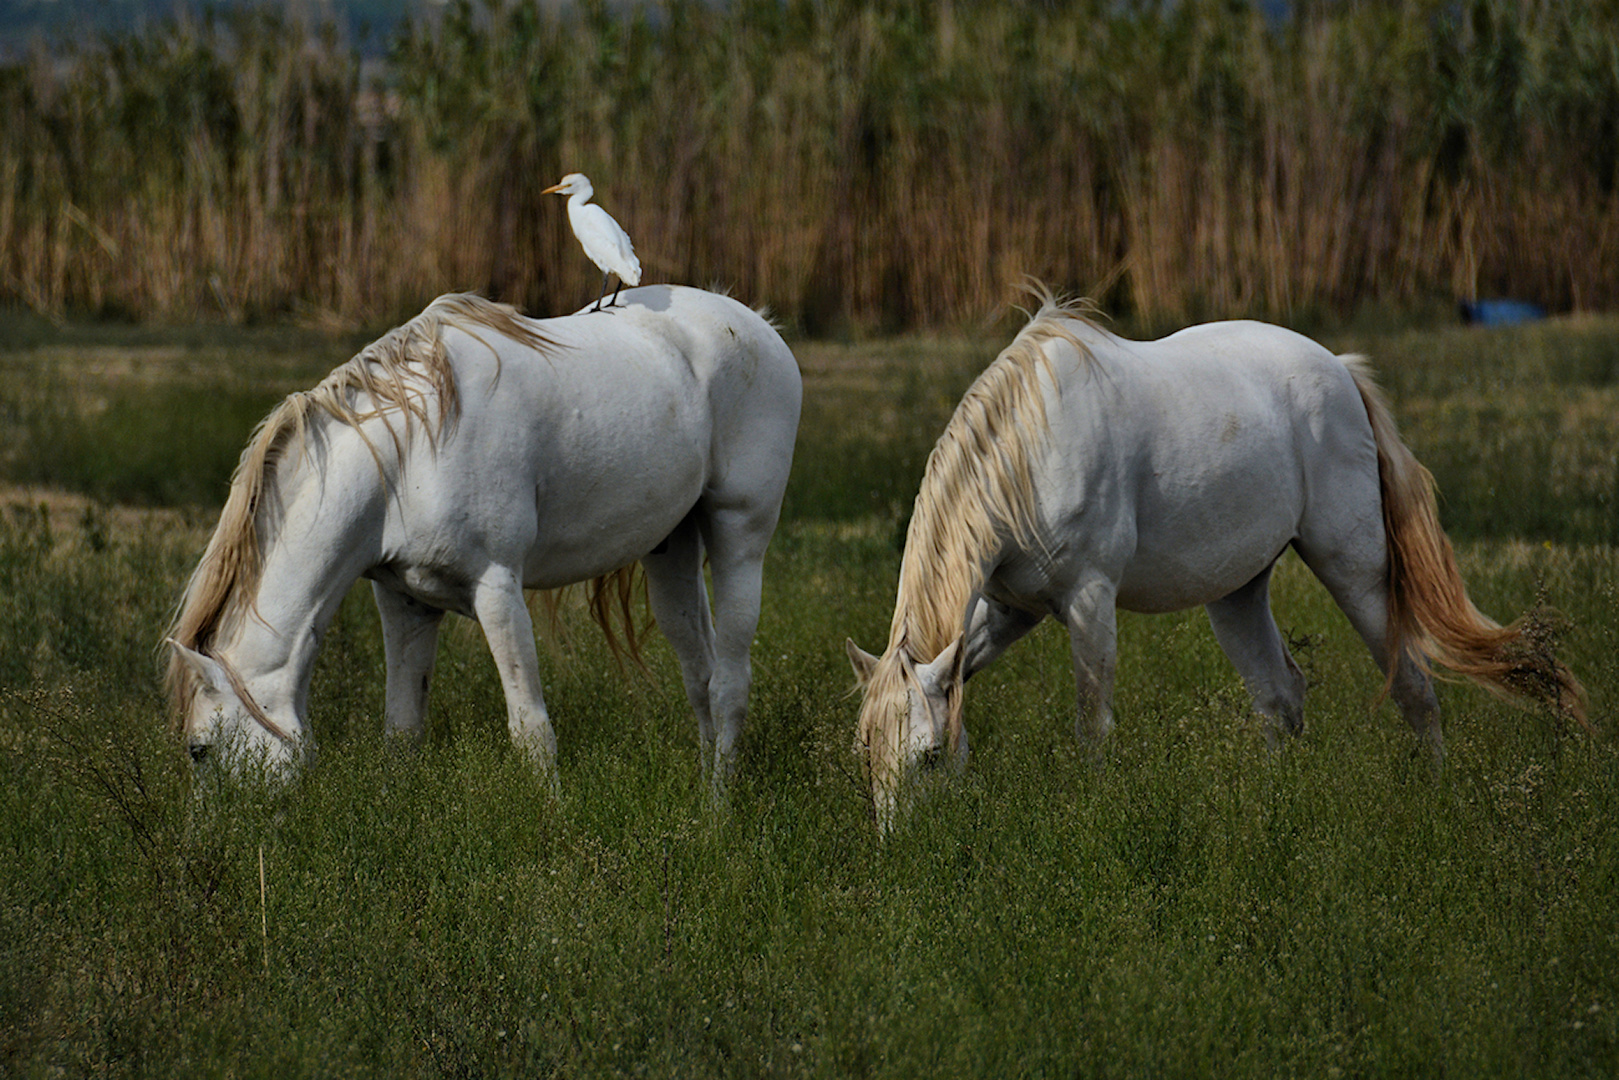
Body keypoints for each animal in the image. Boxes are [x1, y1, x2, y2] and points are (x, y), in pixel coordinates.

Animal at [170, 283, 803, 790]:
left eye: (199, 751)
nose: (206, 852)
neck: (406, 457)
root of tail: (759, 325)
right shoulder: (404, 602)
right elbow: (403, 731)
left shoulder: (497, 591)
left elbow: (531, 732)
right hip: (670, 550)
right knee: (700, 675)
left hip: (741, 534)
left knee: (729, 684)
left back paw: (719, 814)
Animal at [854, 291, 1586, 835]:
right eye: (867, 753)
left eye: (926, 757)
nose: (902, 853)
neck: (1028, 455)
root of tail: (1341, 370)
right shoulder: (1010, 611)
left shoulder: (1088, 601)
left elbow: (1092, 723)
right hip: (1236, 593)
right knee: (1280, 697)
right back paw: (1271, 809)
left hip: (1354, 568)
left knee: (1411, 684)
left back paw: (1435, 798)